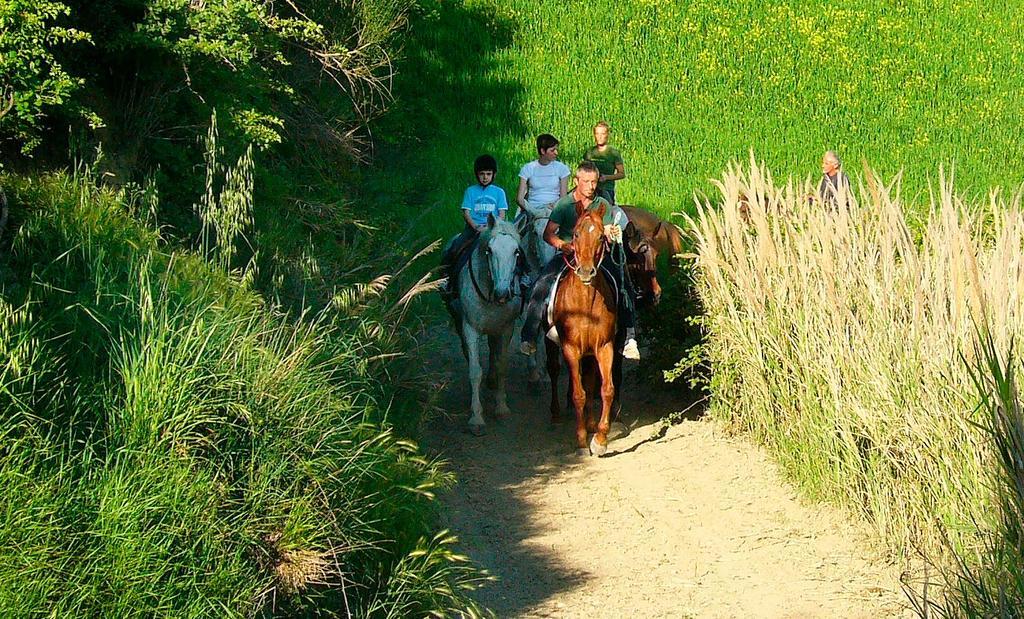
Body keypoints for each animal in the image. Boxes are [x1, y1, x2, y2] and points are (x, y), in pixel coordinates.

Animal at [452, 213, 524, 434]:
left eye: (516, 251)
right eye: (489, 251)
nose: (503, 293)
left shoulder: (506, 328)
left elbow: (501, 365)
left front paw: (501, 407)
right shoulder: (470, 329)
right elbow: (475, 371)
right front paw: (476, 417)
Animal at [544, 202, 614, 455]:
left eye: (601, 236)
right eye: (575, 234)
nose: (585, 271)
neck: (585, 305)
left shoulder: (604, 346)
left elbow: (605, 389)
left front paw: (600, 439)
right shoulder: (571, 349)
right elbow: (578, 394)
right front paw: (582, 440)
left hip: (590, 353)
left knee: (591, 381)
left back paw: (592, 422)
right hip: (550, 344)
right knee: (553, 370)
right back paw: (555, 413)